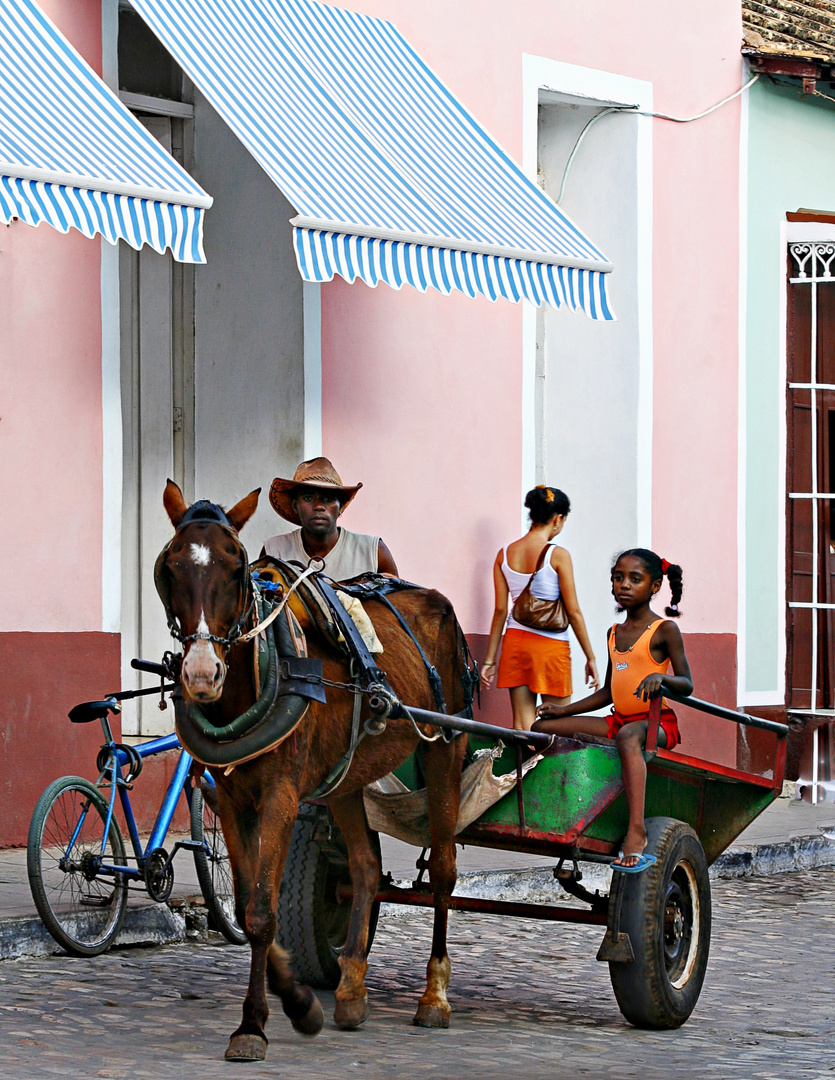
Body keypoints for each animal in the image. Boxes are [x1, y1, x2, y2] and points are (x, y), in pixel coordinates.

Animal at [154, 483, 468, 1062]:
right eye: (171, 565)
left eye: (236, 566)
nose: (202, 674)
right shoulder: (230, 798)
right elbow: (250, 904)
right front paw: (301, 1003)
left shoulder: (279, 794)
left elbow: (260, 911)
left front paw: (253, 1025)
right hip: (344, 777)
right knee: (365, 866)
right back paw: (351, 991)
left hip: (446, 750)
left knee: (443, 872)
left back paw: (434, 996)